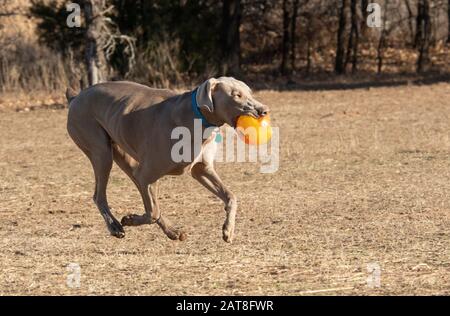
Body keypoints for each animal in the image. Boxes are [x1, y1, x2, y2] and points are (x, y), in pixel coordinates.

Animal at [65, 76, 268, 242]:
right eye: (236, 95)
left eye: (249, 92)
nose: (264, 110)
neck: (198, 118)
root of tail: (76, 97)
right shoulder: (148, 175)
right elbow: (153, 212)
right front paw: (129, 219)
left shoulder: (201, 169)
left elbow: (231, 196)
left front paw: (228, 230)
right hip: (101, 151)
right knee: (101, 195)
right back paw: (116, 226)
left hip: (124, 156)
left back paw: (172, 232)